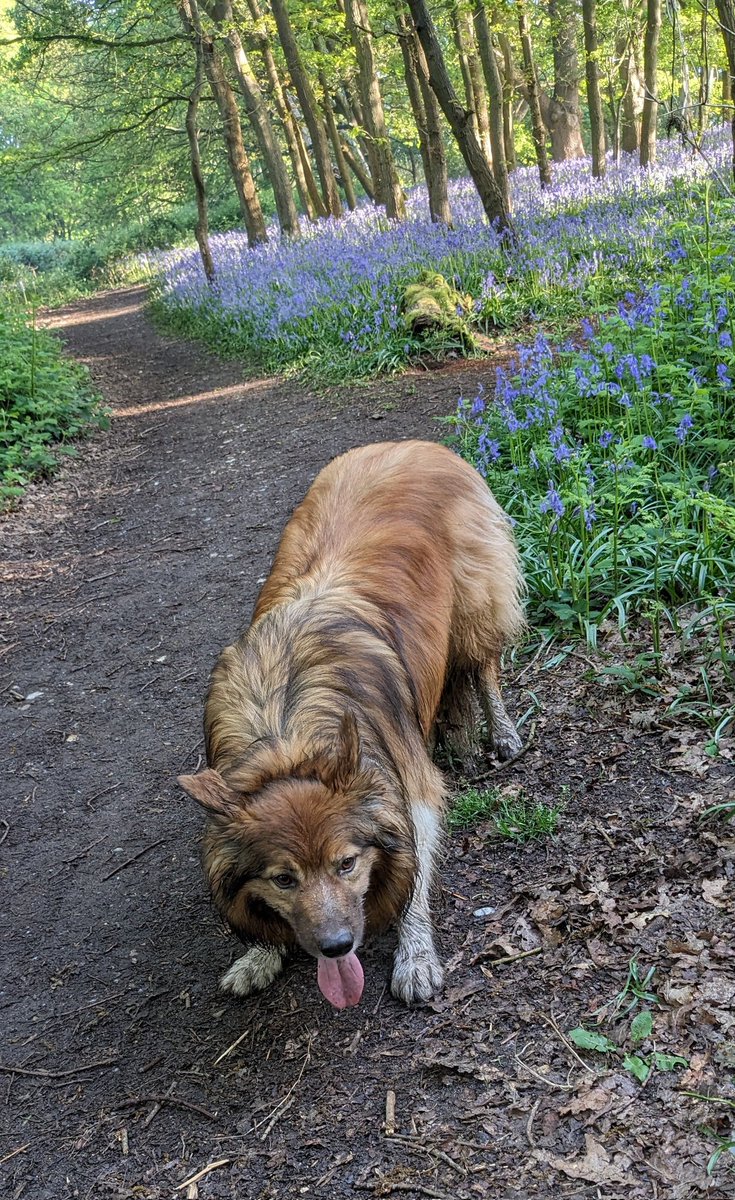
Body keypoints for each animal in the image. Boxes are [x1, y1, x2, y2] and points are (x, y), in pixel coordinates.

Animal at [177, 439, 523, 1003]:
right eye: (284, 879)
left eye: (347, 863)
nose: (338, 947)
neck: (285, 731)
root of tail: (411, 443)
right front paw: (258, 956)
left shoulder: (405, 779)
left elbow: (416, 865)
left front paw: (415, 954)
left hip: (474, 605)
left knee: (483, 667)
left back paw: (503, 733)